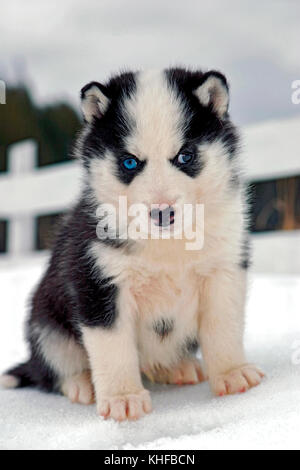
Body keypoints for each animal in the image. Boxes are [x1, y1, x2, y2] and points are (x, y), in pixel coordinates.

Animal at [0, 68, 262, 420]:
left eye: (185, 156)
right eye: (129, 163)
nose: (162, 213)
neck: (167, 246)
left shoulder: (224, 268)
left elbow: (223, 325)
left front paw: (232, 372)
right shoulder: (99, 282)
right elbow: (113, 347)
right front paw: (122, 397)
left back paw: (174, 367)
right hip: (45, 320)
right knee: (53, 367)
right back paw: (81, 382)